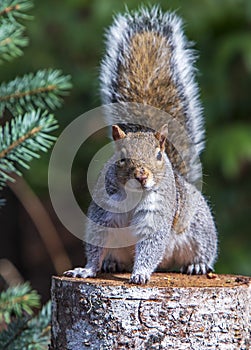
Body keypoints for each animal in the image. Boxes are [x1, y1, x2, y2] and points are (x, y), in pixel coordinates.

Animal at [64, 6, 218, 284]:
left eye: (158, 155)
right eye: (121, 157)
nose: (142, 175)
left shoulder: (156, 213)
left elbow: (150, 244)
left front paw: (141, 274)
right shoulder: (103, 212)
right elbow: (95, 246)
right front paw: (87, 269)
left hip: (199, 227)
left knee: (202, 248)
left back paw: (197, 264)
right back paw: (112, 264)